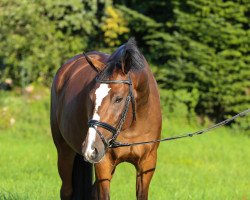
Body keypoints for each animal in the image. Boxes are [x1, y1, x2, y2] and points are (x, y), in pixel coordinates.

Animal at [50, 38, 162, 200]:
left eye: (118, 99)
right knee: (66, 191)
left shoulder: (147, 165)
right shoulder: (104, 163)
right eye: (91, 97)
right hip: (65, 151)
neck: (131, 126)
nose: (90, 148)